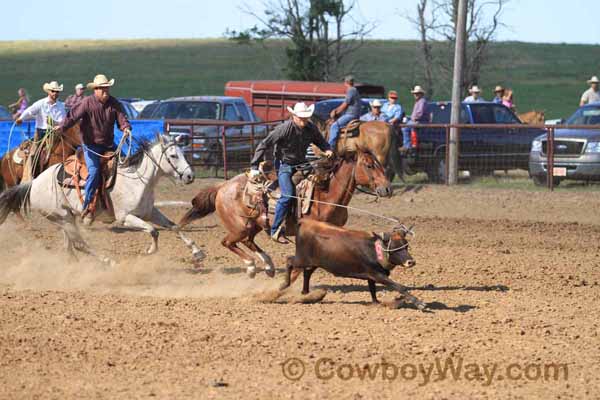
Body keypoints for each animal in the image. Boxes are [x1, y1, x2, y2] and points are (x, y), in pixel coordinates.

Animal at [0, 135, 204, 266]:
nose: (190, 176)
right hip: (63, 217)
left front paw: (197, 252)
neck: (137, 180)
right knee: (80, 244)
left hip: (66, 218)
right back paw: (108, 261)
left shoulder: (150, 212)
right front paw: (150, 251)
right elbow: (153, 231)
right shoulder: (125, 217)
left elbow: (174, 226)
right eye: (173, 156)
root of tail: (33, 183)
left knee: (71, 245)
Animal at [177, 150, 394, 278]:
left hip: (255, 225)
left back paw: (268, 266)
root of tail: (222, 186)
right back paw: (251, 266)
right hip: (240, 227)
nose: (387, 189)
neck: (325, 195)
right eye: (369, 165)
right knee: (228, 242)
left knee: (248, 241)